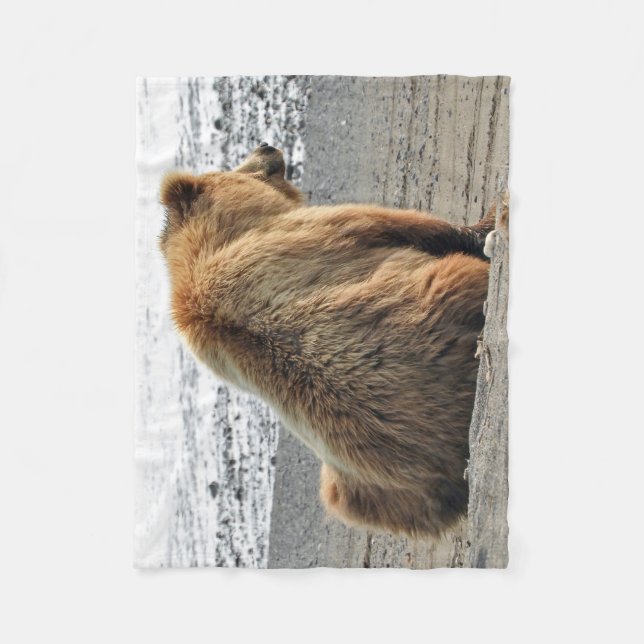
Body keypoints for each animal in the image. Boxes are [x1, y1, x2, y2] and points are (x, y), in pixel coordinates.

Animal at [159, 142, 500, 539]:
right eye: (233, 168)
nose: (267, 146)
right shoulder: (313, 229)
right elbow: (410, 226)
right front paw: (487, 223)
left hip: (359, 491)